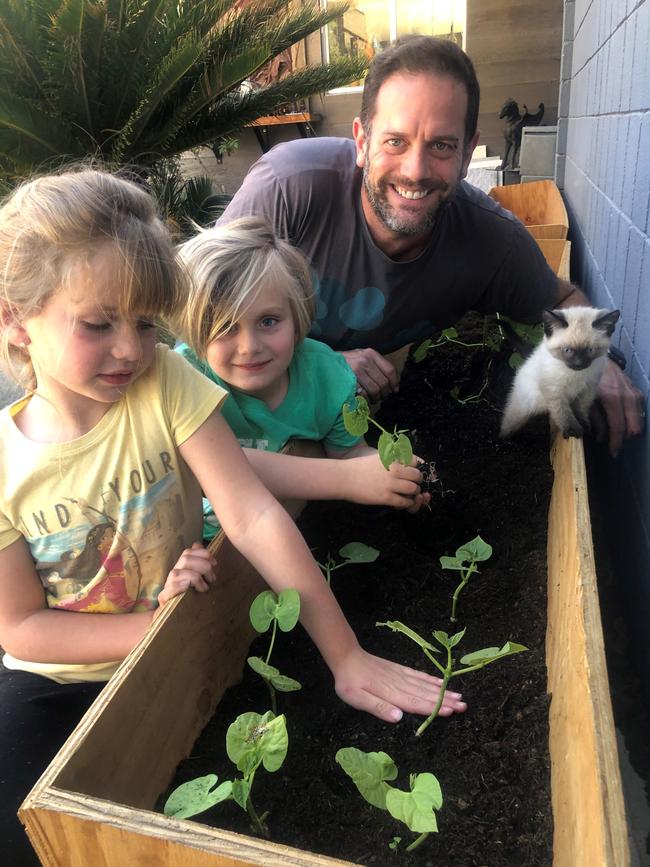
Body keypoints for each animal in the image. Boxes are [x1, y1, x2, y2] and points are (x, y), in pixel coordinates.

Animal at [498, 306, 620, 440]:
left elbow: (581, 407)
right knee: (509, 424)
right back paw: (502, 438)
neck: (575, 375)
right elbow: (562, 412)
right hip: (522, 408)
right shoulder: (554, 391)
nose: (578, 364)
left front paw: (583, 423)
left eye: (590, 350)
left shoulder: (588, 388)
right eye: (567, 350)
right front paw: (573, 430)